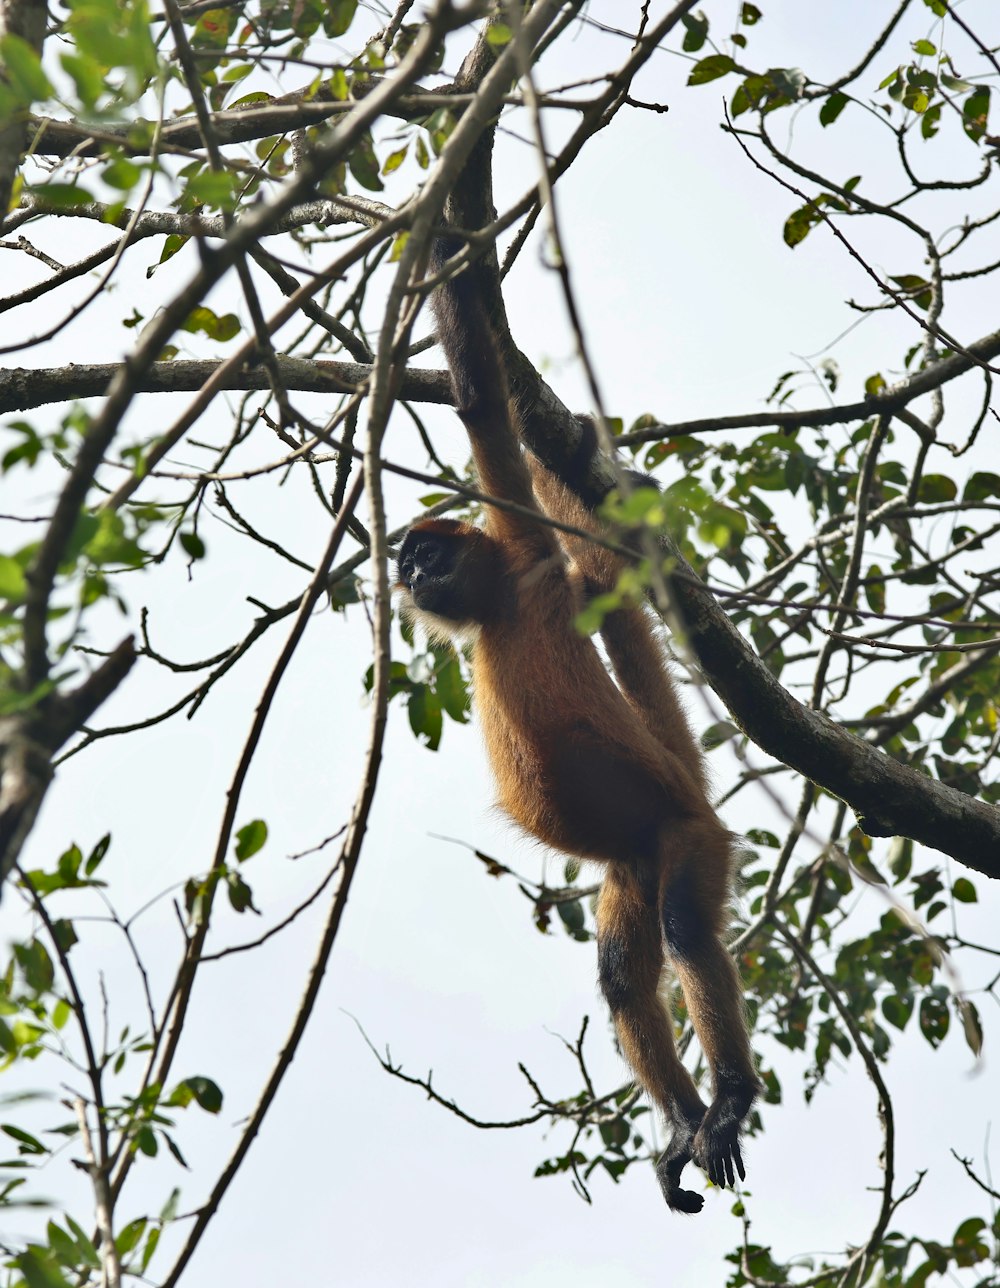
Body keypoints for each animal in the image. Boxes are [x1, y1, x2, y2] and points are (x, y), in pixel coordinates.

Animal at [399, 236, 757, 1210]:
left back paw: (729, 1099)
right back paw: (681, 1123)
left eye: (428, 554)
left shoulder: (527, 549)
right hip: (635, 860)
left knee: (687, 930)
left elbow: (483, 403)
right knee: (623, 976)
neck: (496, 610)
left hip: (689, 838)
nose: (412, 576)